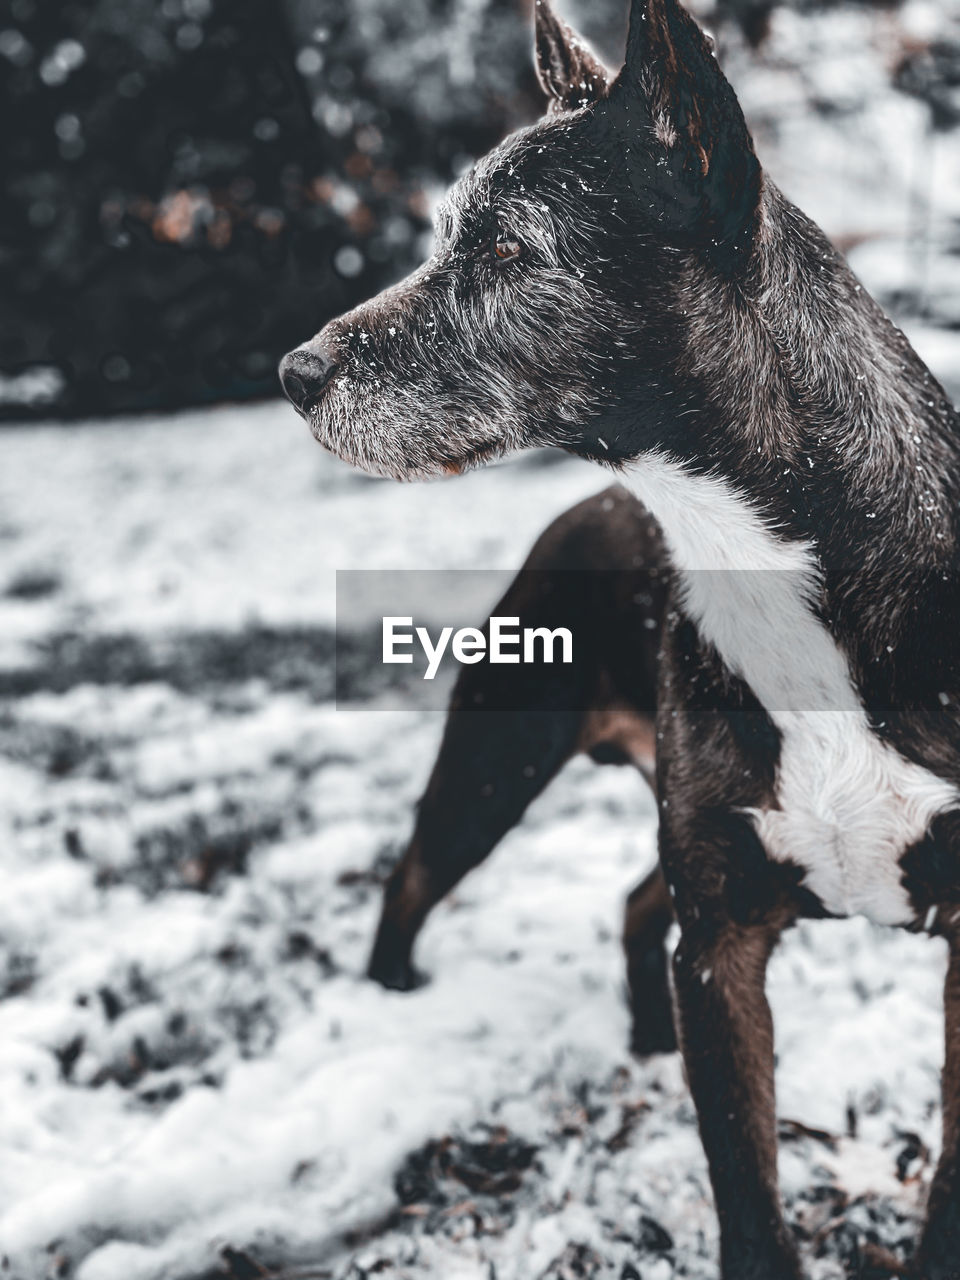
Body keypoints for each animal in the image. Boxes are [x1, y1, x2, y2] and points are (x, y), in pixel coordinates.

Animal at [281, 5, 960, 1274]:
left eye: (509, 251)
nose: (295, 373)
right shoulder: (724, 945)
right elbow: (746, 1194)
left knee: (634, 900)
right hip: (499, 753)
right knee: (416, 872)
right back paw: (397, 996)